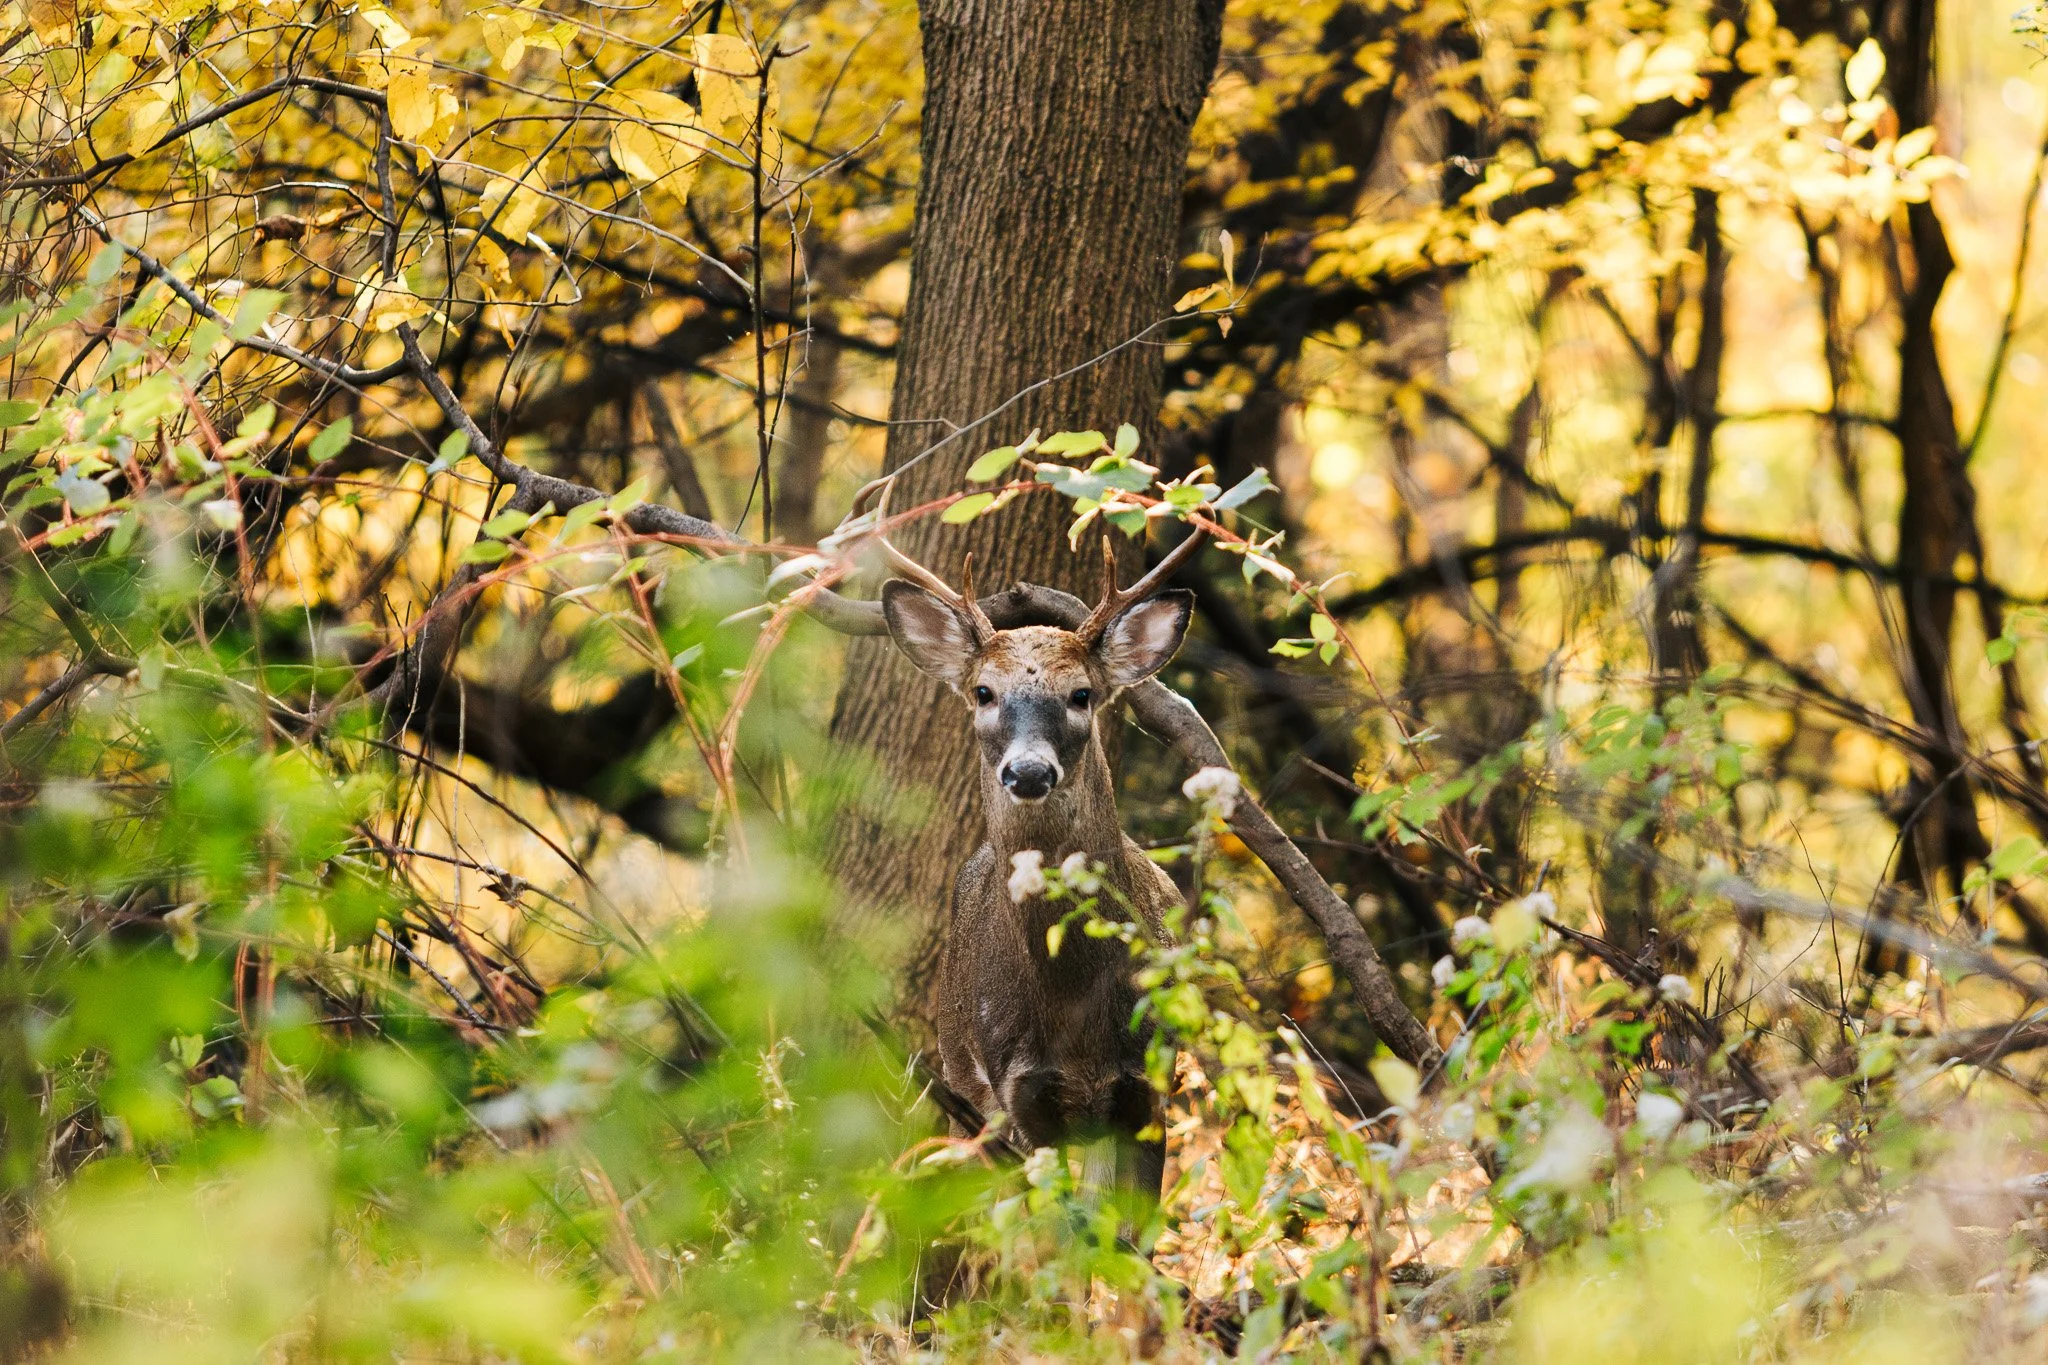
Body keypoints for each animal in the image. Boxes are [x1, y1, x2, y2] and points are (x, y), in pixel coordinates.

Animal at [878, 533, 1208, 1197]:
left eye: (1081, 693)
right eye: (984, 691)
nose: (1028, 771)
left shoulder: (1145, 1091)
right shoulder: (1020, 1095)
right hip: (964, 1083)